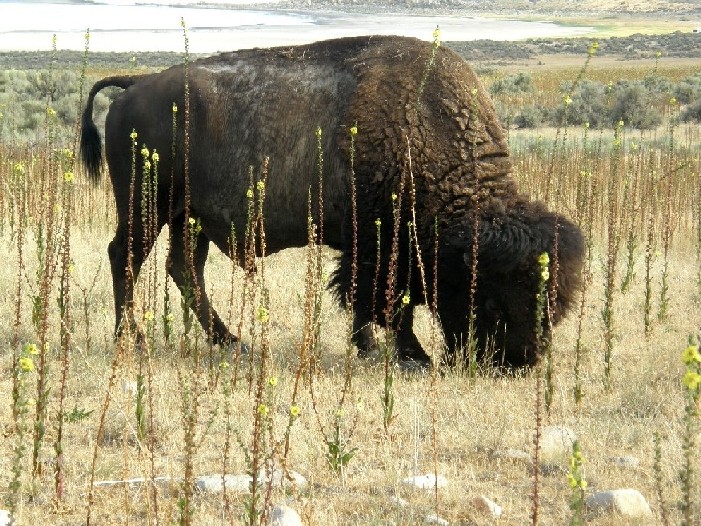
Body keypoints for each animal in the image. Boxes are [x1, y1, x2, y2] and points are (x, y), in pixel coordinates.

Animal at [79, 35, 584, 372]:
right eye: (496, 295)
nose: (518, 362)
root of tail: (135, 85)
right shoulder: (381, 246)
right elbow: (385, 302)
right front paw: (410, 355)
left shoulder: (366, 244)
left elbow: (365, 297)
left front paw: (369, 347)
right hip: (146, 208)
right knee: (126, 257)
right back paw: (132, 340)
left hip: (188, 216)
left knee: (183, 268)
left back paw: (232, 341)